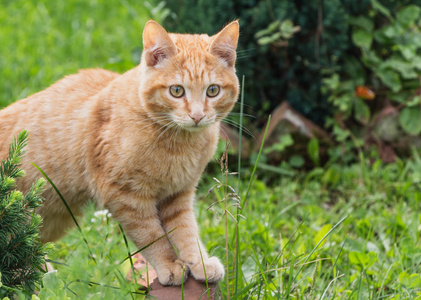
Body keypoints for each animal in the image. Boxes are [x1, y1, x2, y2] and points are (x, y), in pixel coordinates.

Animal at [0, 19, 238, 284]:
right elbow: (152, 237)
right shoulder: (125, 196)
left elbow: (187, 232)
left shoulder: (178, 194)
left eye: (212, 90)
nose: (197, 116)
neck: (179, 143)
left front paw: (201, 263)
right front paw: (169, 265)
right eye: (176, 91)